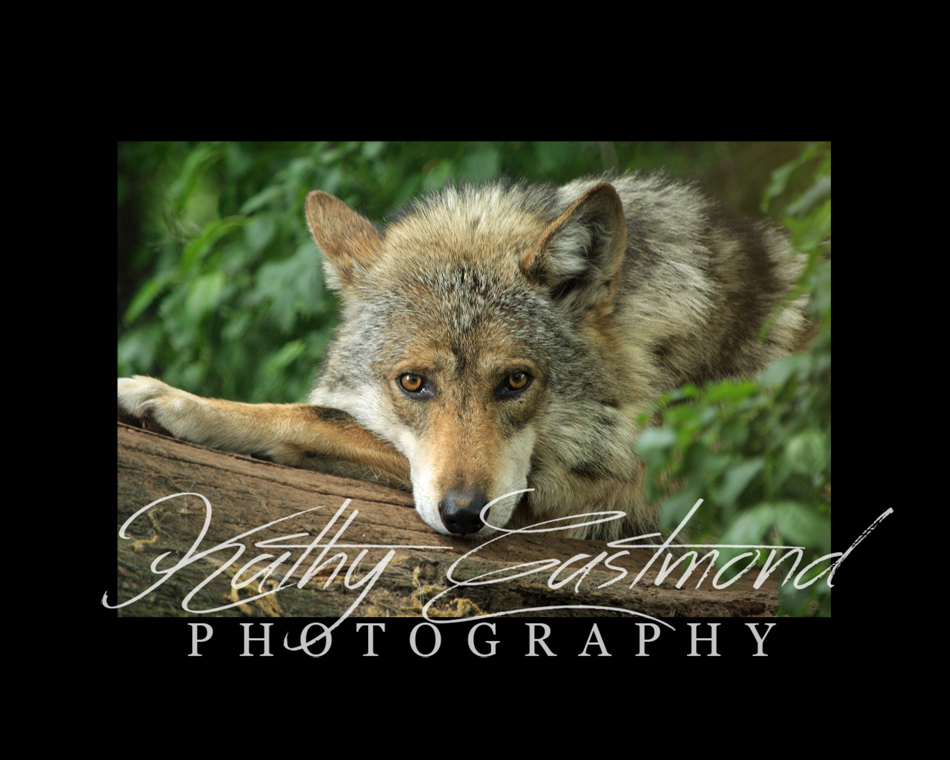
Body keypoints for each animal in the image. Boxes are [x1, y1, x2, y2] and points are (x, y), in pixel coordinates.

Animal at [118, 173, 813, 542]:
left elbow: (314, 416)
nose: (463, 517)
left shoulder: (596, 490)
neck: (651, 356)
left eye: (515, 381)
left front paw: (169, 397)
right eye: (412, 382)